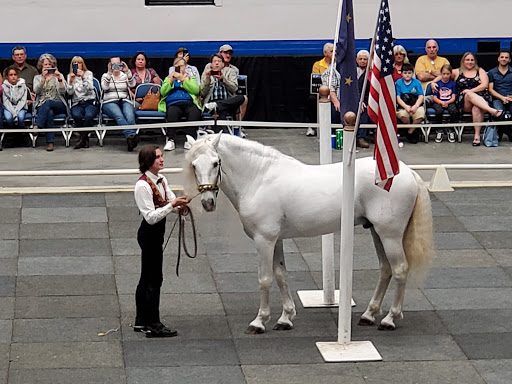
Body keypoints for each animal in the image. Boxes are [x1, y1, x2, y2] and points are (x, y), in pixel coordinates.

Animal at [184, 134, 432, 332]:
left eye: (216, 163)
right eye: (194, 165)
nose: (207, 202)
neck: (258, 178)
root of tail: (408, 172)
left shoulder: (264, 240)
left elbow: (264, 279)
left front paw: (259, 322)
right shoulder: (276, 240)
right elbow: (280, 275)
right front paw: (285, 318)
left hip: (390, 235)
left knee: (400, 270)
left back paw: (389, 319)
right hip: (376, 233)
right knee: (385, 269)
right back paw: (369, 315)